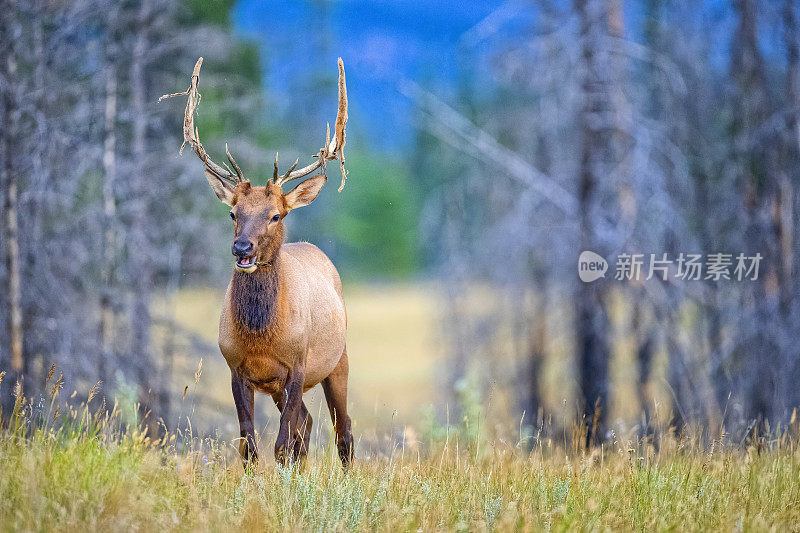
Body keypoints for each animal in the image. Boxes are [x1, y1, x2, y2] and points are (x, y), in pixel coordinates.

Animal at [161, 57, 352, 466]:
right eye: (233, 213)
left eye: (275, 215)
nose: (242, 249)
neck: (261, 337)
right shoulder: (236, 368)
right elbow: (249, 445)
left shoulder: (297, 365)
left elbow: (279, 445)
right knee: (307, 425)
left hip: (337, 359)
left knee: (343, 430)